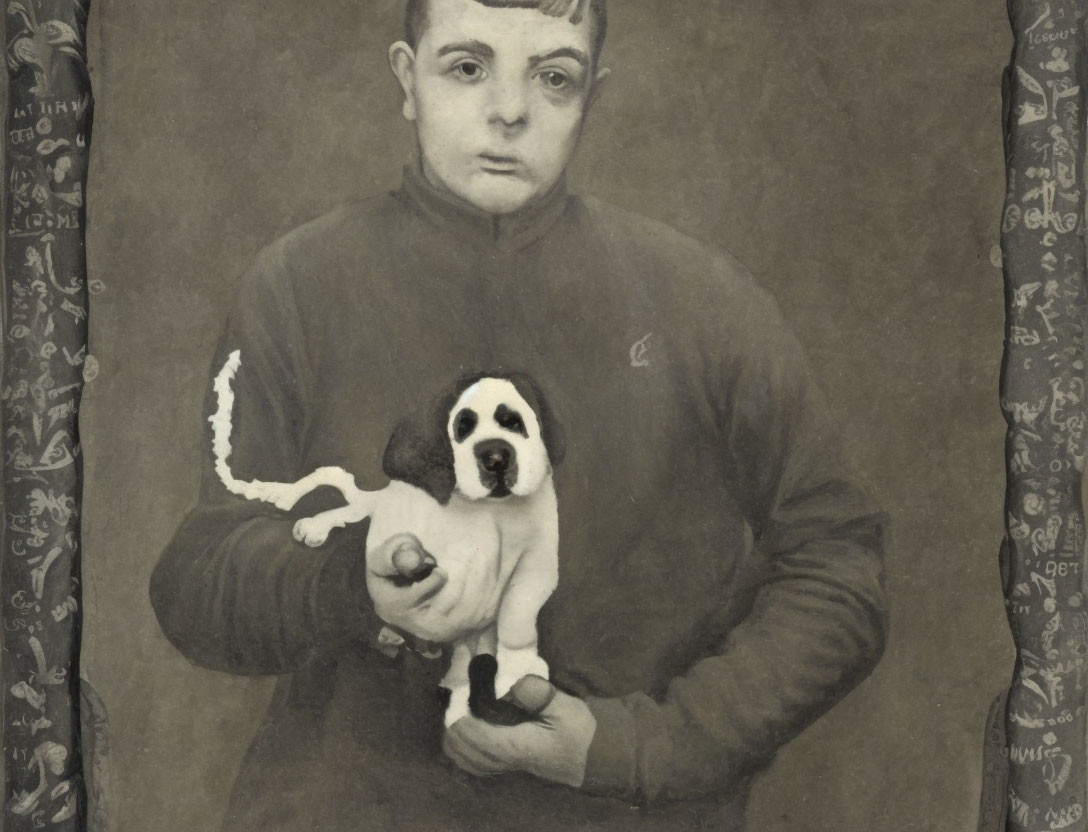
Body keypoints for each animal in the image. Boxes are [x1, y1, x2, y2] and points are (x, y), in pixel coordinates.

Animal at [207, 350, 561, 726]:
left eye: (514, 423)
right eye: (462, 429)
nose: (495, 457)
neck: (492, 513)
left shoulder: (536, 568)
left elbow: (516, 617)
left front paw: (515, 668)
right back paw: (316, 525)